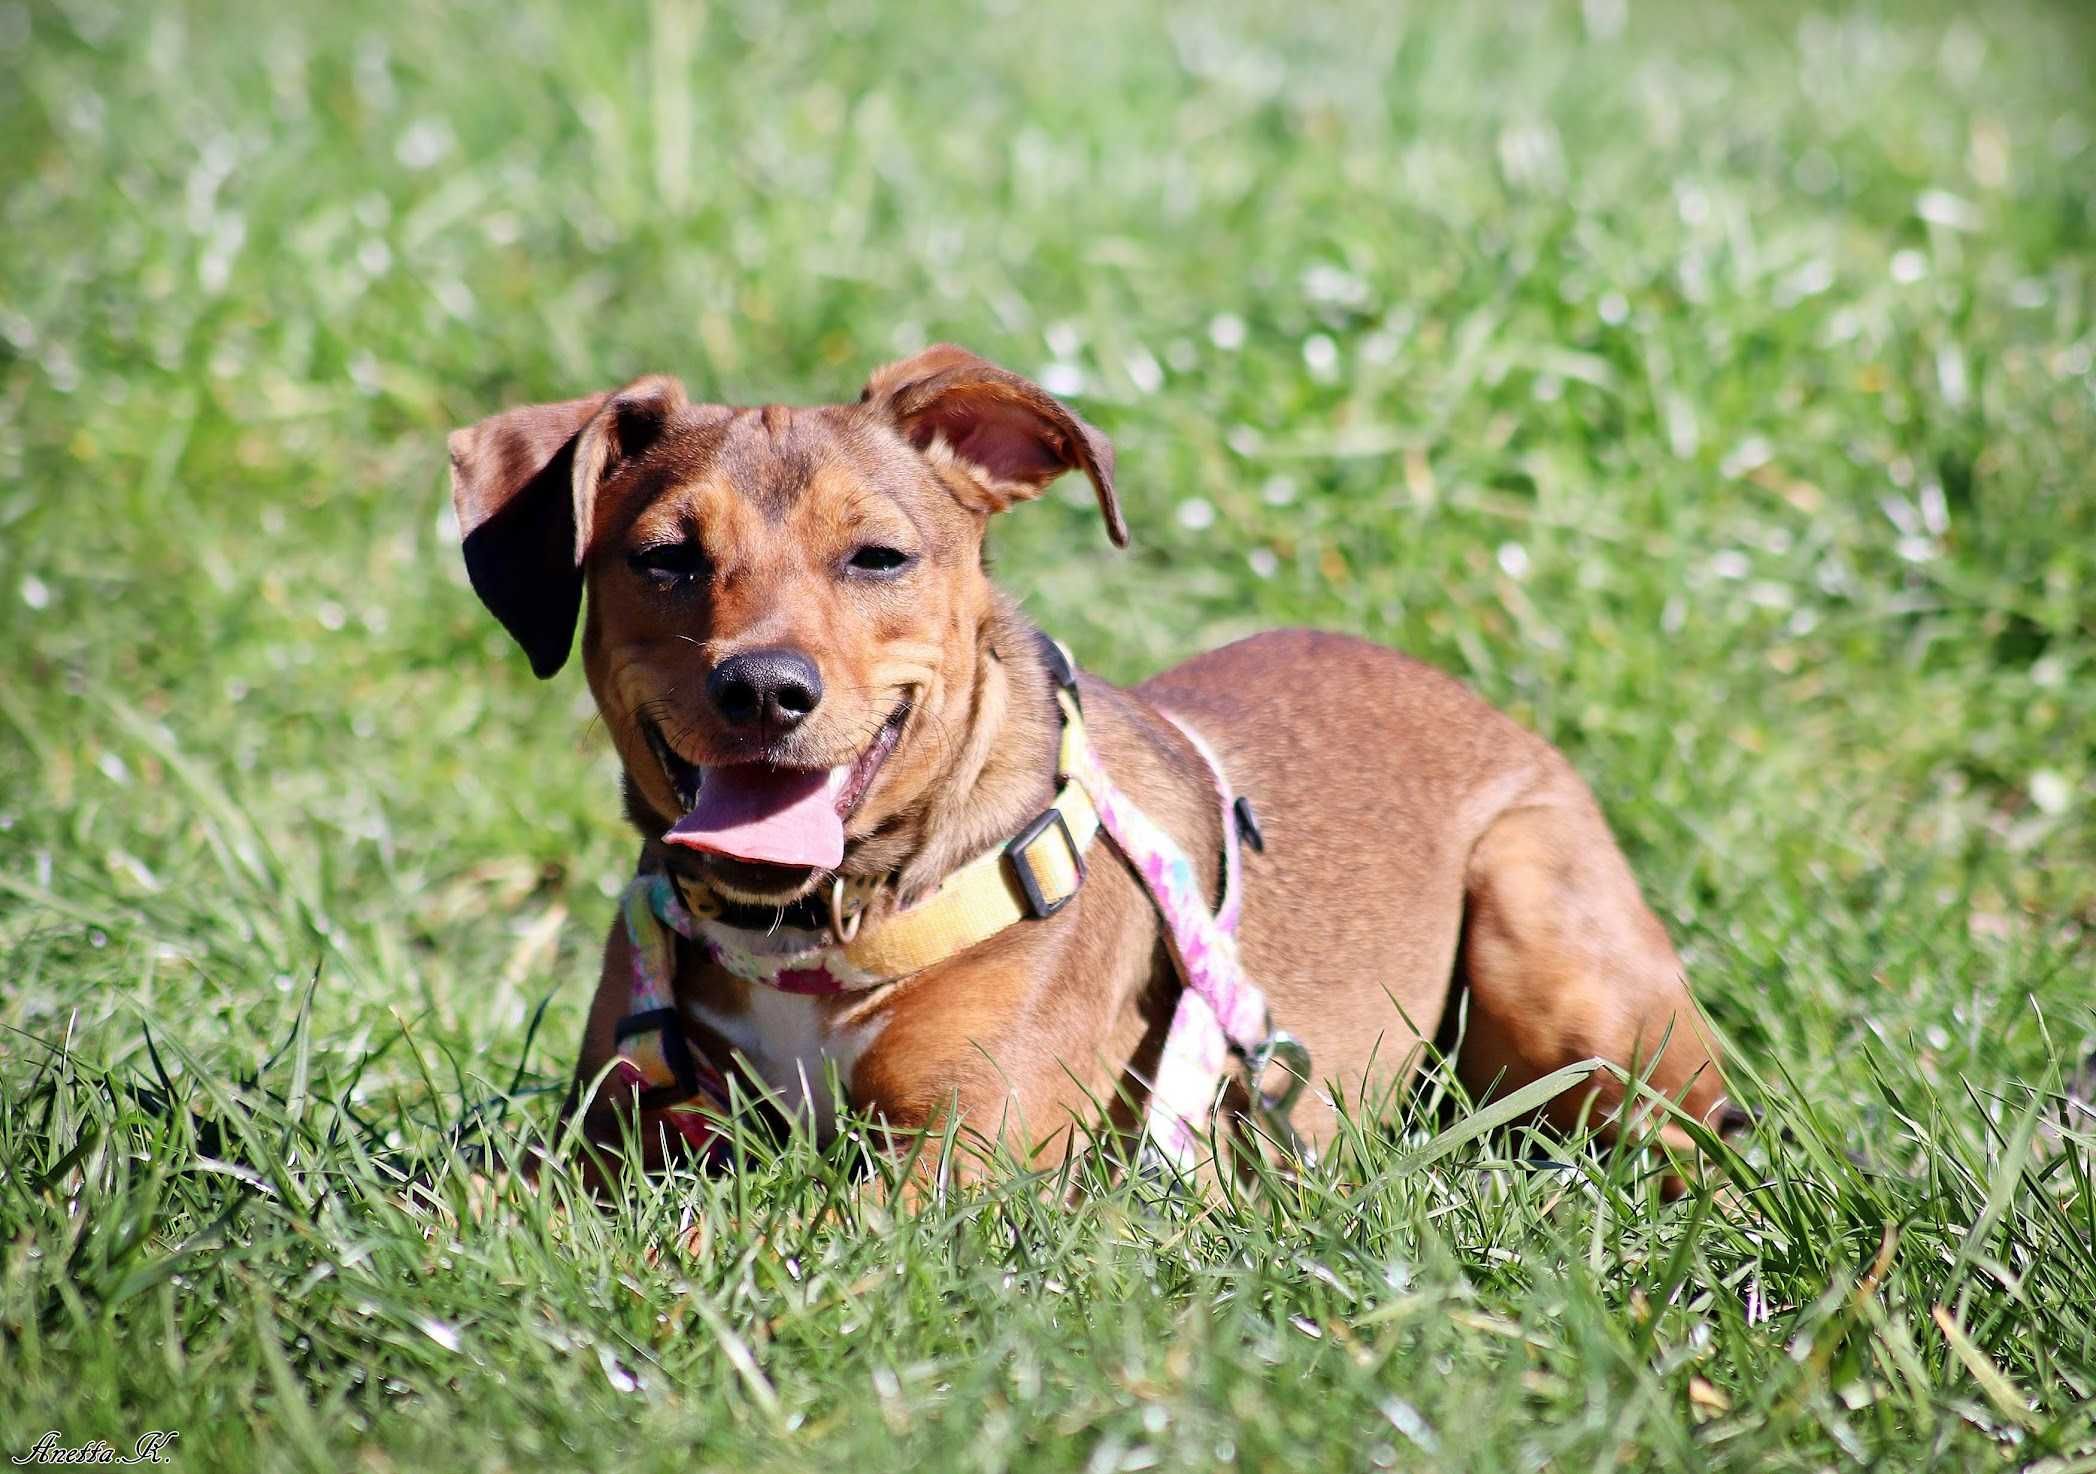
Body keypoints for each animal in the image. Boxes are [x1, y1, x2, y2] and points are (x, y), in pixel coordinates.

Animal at [446, 343, 1735, 1174]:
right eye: (663, 556)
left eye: (877, 557)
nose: (763, 689)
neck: (814, 933)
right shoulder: (613, 1138)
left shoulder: (950, 1168)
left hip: (1556, 960)